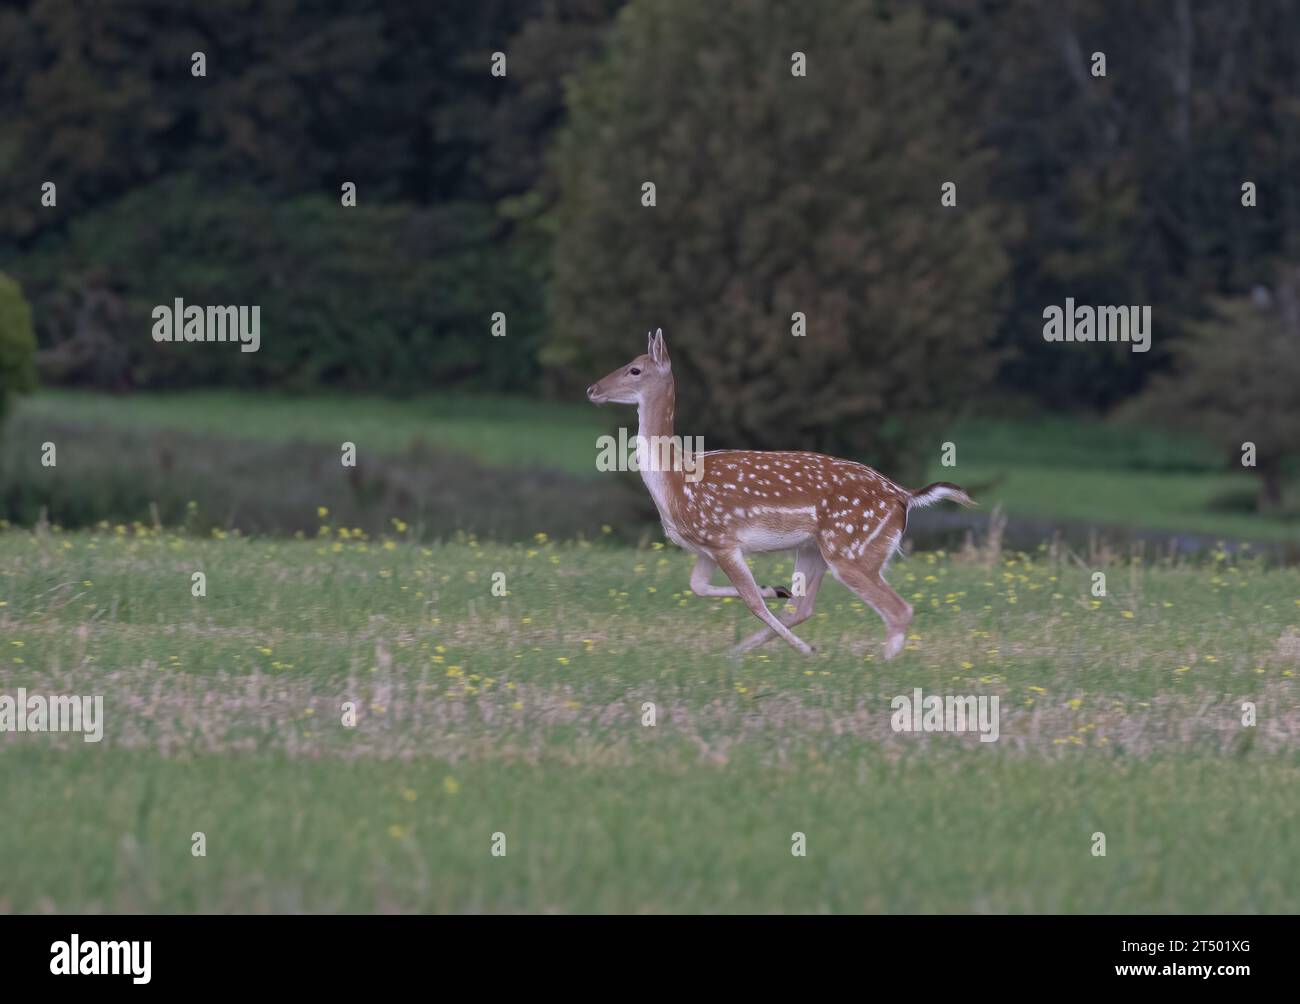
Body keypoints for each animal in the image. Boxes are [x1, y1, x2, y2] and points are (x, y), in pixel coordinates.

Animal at [590, 327, 977, 658]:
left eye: (635, 370)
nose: (592, 389)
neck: (674, 482)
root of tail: (904, 495)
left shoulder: (721, 537)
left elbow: (751, 601)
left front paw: (789, 631)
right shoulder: (704, 546)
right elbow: (698, 586)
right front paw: (773, 593)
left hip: (852, 548)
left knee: (898, 609)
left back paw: (874, 665)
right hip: (814, 549)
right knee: (803, 605)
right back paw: (751, 645)